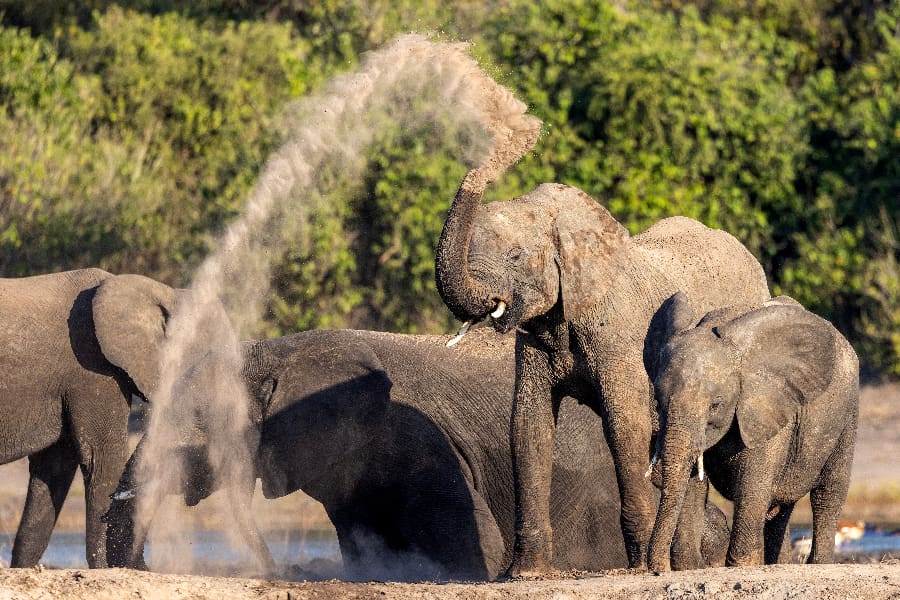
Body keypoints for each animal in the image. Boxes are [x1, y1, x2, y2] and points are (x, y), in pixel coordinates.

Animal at [434, 167, 771, 572]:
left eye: (516, 256)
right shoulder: (534, 336)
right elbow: (529, 425)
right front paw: (527, 573)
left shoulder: (621, 339)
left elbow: (624, 426)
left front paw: (640, 568)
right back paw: (686, 566)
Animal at [645, 292, 859, 571]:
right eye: (658, 401)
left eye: (716, 405)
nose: (658, 570)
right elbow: (693, 484)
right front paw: (690, 567)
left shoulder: (765, 408)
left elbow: (752, 485)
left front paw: (740, 565)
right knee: (781, 508)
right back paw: (775, 564)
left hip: (847, 413)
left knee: (828, 493)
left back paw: (818, 564)